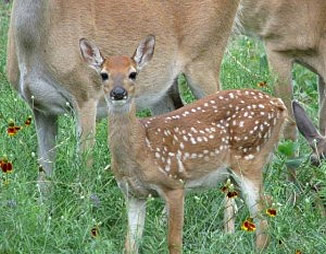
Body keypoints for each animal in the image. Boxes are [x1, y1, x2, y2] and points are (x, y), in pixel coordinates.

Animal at [7, 0, 239, 191]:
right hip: (162, 90)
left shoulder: (85, 96)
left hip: (205, 58)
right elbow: (44, 177)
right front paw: (45, 212)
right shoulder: (41, 108)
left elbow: (84, 169)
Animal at [80, 34, 286, 253]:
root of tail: (278, 104)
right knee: (267, 208)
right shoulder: (134, 194)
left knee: (263, 225)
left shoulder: (174, 185)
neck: (141, 146)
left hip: (249, 159)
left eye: (133, 74)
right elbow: (130, 244)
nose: (118, 93)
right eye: (104, 74)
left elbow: (174, 243)